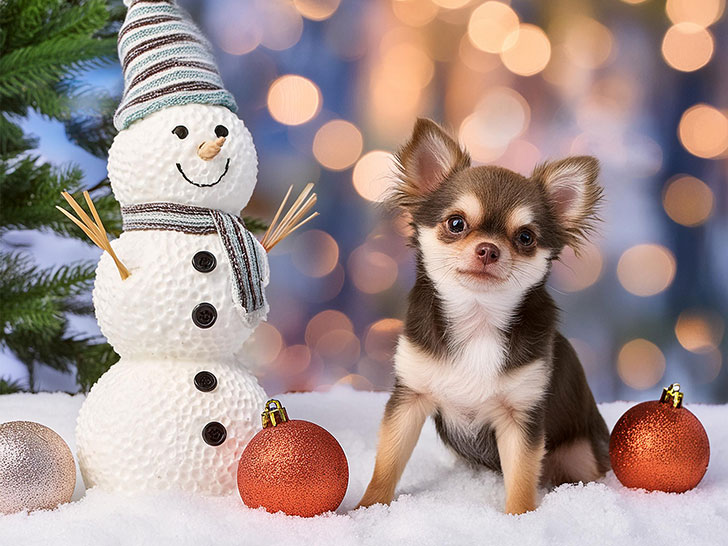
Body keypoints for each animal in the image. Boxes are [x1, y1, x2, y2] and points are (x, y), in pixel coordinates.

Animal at [358, 117, 608, 512]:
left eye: (525, 237)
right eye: (456, 223)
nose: (488, 250)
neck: (478, 319)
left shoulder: (520, 418)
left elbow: (521, 478)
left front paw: (520, 517)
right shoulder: (409, 400)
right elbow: (388, 462)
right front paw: (368, 508)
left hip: (580, 454)